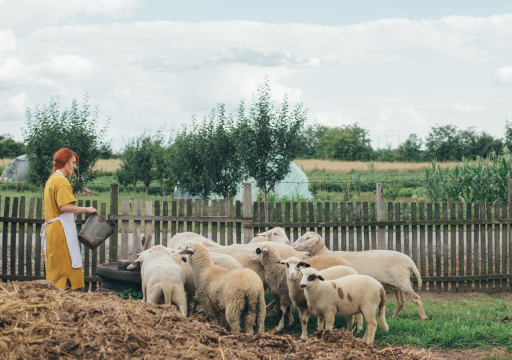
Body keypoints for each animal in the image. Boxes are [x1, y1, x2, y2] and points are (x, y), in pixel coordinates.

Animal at [292, 232, 428, 322]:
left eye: (307, 238)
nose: (293, 245)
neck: (325, 253)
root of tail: (411, 262)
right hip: (397, 283)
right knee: (400, 302)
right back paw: (393, 318)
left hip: (402, 281)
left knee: (416, 298)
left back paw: (424, 317)